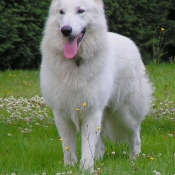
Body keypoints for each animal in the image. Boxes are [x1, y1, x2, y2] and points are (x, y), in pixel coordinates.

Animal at [40, 0, 152, 172]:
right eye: (61, 12)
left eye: (80, 11)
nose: (65, 30)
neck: (76, 62)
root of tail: (129, 42)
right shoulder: (62, 113)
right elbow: (68, 146)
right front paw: (70, 167)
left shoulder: (91, 111)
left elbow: (87, 146)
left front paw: (86, 168)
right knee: (100, 145)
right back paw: (99, 159)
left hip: (126, 114)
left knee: (135, 135)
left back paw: (134, 159)